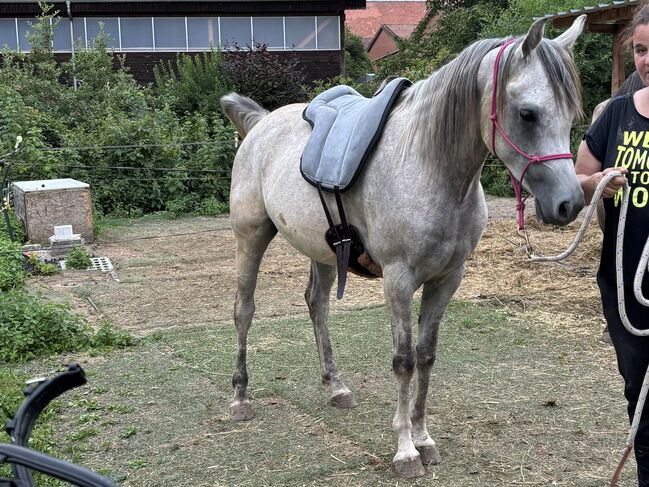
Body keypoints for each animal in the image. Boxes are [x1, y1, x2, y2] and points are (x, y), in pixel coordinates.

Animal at [220, 16, 584, 480]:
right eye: (527, 114)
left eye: (571, 115)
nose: (569, 204)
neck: (430, 166)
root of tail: (261, 123)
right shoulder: (398, 280)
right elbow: (404, 361)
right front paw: (406, 451)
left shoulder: (447, 280)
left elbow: (426, 357)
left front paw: (424, 439)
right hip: (250, 236)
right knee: (244, 310)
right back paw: (240, 397)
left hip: (323, 250)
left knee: (317, 304)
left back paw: (336, 386)